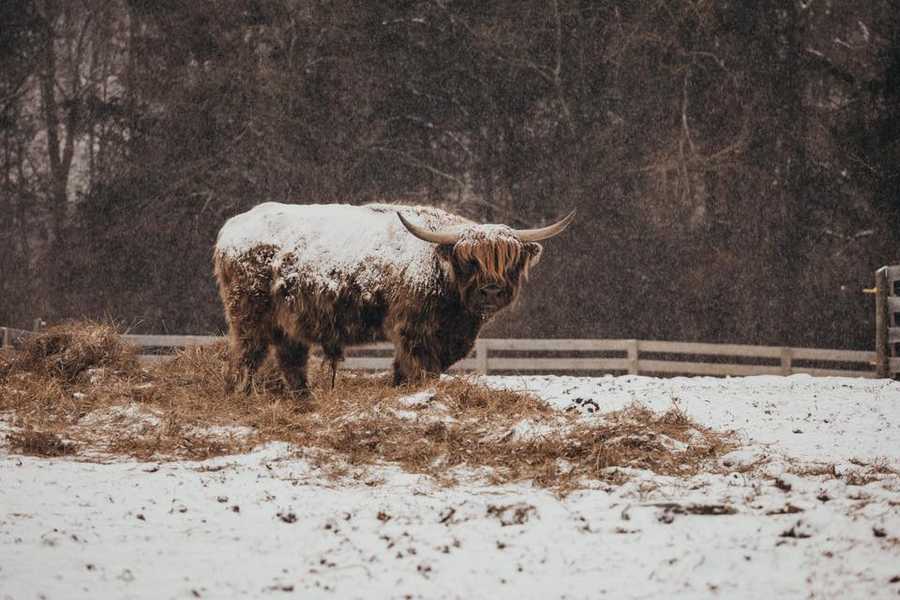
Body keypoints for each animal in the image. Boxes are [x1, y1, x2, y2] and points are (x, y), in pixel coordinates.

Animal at [213, 202, 574, 394]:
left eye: (507, 260)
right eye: (470, 260)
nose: (492, 290)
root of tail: (231, 229)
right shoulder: (414, 330)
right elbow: (419, 369)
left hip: (290, 321)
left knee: (291, 359)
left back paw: (304, 399)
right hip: (249, 314)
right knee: (246, 356)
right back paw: (242, 394)